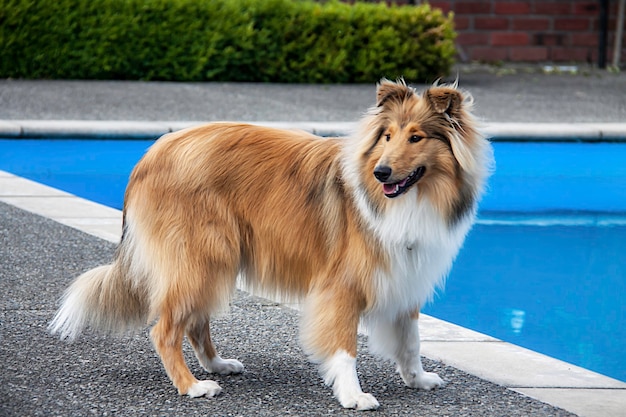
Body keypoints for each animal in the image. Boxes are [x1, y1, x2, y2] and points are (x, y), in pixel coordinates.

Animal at [50, 79, 488, 410]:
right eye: (387, 136)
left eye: (416, 137)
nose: (381, 172)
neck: (412, 199)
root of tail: (151, 153)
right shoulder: (342, 286)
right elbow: (345, 346)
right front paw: (354, 395)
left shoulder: (405, 273)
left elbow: (410, 338)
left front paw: (418, 379)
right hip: (202, 256)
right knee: (166, 328)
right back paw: (193, 386)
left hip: (214, 260)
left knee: (195, 322)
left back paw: (217, 365)